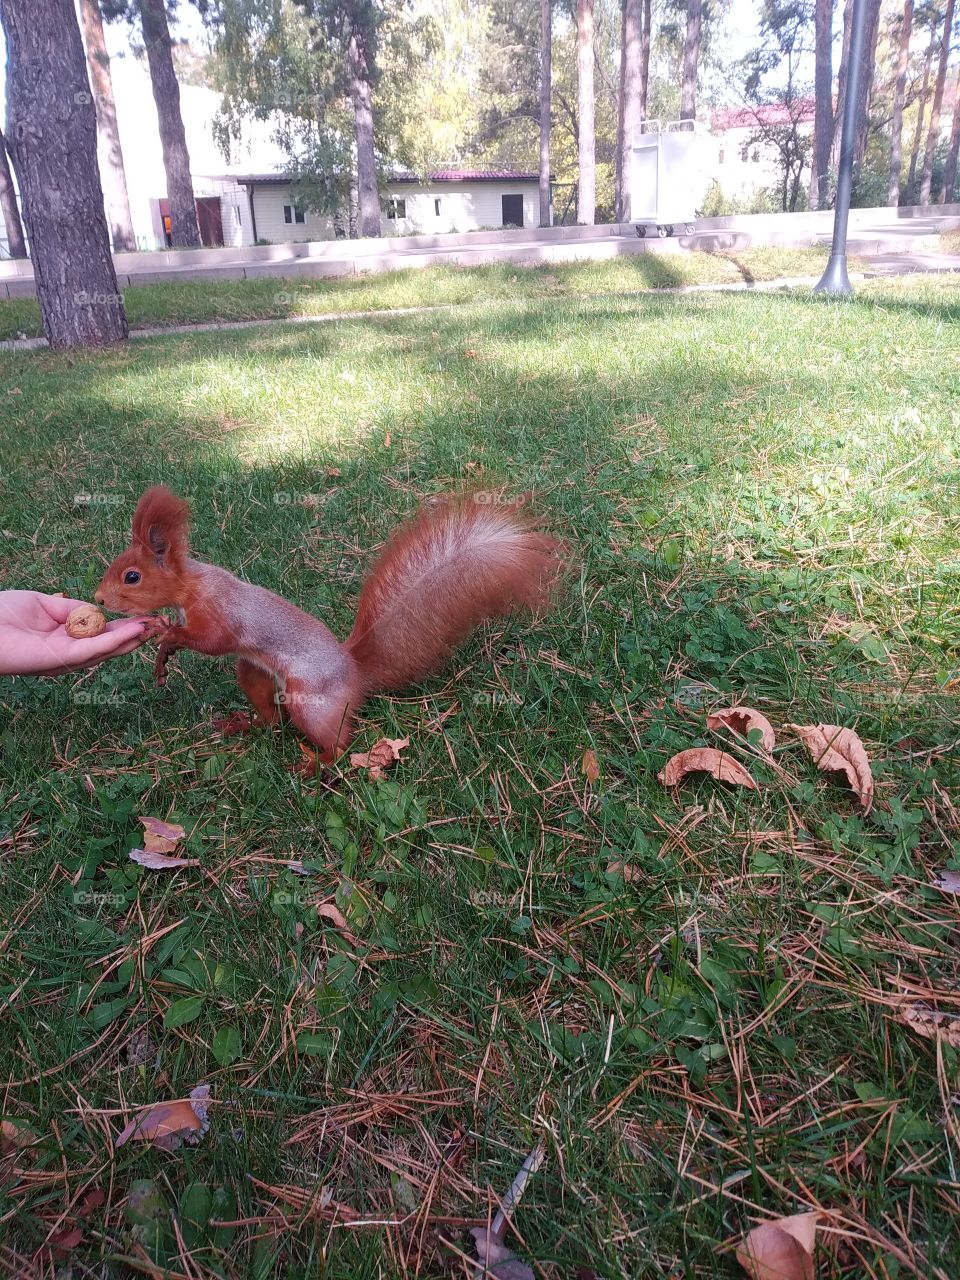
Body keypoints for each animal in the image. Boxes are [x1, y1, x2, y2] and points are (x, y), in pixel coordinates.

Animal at [94, 486, 564, 761]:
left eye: (132, 576)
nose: (99, 599)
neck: (191, 588)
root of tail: (354, 672)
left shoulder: (219, 610)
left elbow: (214, 639)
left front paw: (164, 633)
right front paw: (163, 654)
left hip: (310, 701)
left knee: (339, 744)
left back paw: (316, 767)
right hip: (254, 672)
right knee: (272, 720)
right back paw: (244, 725)